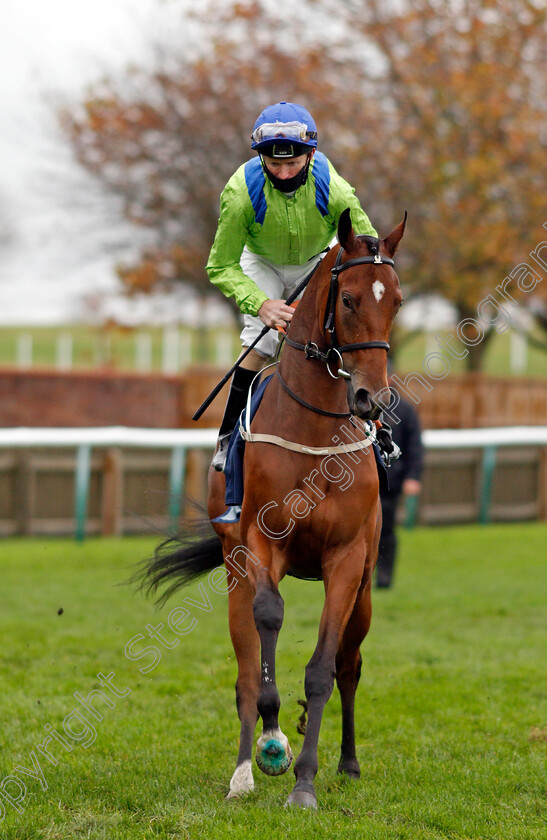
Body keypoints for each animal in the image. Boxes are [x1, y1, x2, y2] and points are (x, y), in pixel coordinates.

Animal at [143, 208, 404, 808]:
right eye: (349, 299)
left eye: (397, 300)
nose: (372, 400)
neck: (315, 431)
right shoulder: (262, 547)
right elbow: (267, 629)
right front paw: (272, 740)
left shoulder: (346, 560)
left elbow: (324, 669)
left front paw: (306, 781)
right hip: (234, 568)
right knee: (245, 668)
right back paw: (244, 768)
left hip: (365, 592)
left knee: (351, 664)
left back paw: (348, 763)